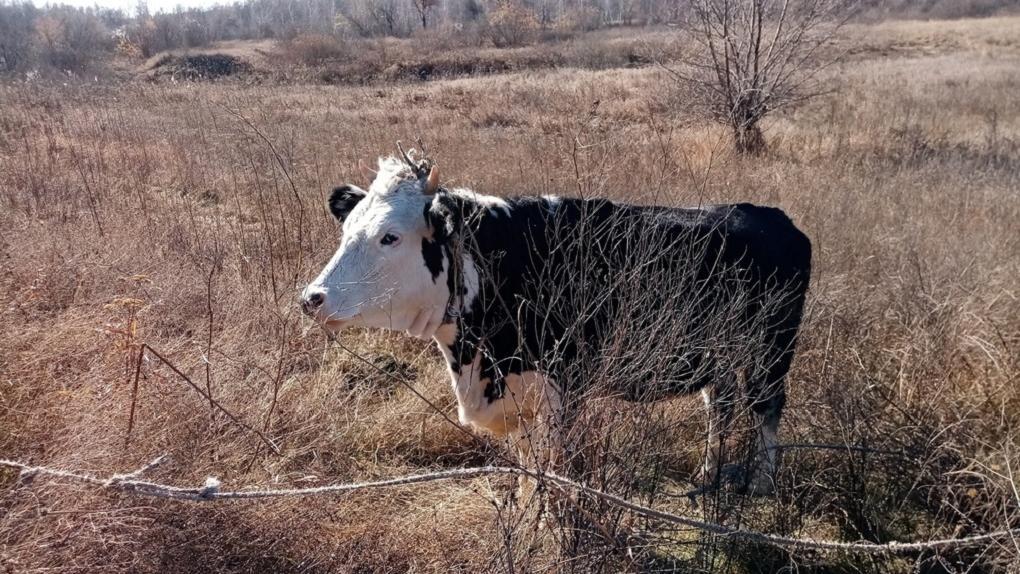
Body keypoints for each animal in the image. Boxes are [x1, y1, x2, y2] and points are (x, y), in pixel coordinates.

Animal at [301, 149, 811, 493]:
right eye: (348, 230)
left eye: (390, 237)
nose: (312, 298)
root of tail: (769, 215)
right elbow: (532, 470)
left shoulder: (564, 390)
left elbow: (558, 469)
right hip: (719, 356)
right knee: (720, 406)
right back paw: (707, 474)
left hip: (772, 352)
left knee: (767, 408)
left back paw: (762, 483)